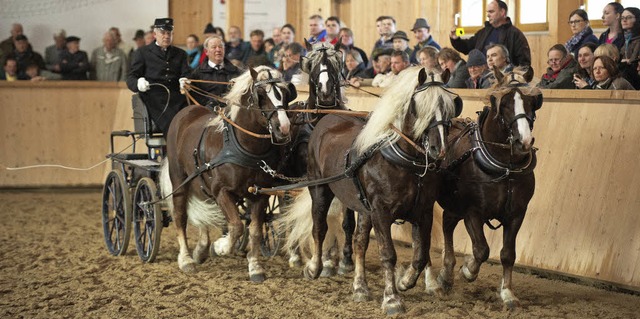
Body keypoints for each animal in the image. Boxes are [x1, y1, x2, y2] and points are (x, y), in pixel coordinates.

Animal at [161, 65, 298, 282]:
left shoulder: (259, 194)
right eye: (260, 95)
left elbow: (255, 230)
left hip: (201, 183)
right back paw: (186, 259)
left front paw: (255, 267)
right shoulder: (221, 191)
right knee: (180, 216)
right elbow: (236, 226)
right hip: (179, 180)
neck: (245, 147)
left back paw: (201, 249)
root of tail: (187, 111)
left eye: (285, 93)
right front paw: (221, 247)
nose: (283, 127)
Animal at [284, 67, 460, 316]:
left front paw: (405, 281)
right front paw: (392, 299)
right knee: (319, 228)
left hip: (362, 207)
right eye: (417, 106)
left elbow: (421, 253)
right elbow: (388, 254)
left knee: (359, 241)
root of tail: (328, 117)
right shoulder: (381, 212)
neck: (406, 163)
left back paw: (360, 287)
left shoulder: (422, 212)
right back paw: (314, 267)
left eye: (449, 106)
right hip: (319, 189)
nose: (438, 149)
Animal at [436, 67, 540, 310]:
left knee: (447, 224)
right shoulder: (472, 212)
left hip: (454, 206)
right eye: (503, 104)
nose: (524, 141)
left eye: (533, 102)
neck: (506, 167)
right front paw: (467, 270)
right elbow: (481, 250)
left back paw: (446, 273)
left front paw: (507, 293)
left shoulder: (516, 214)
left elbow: (508, 254)